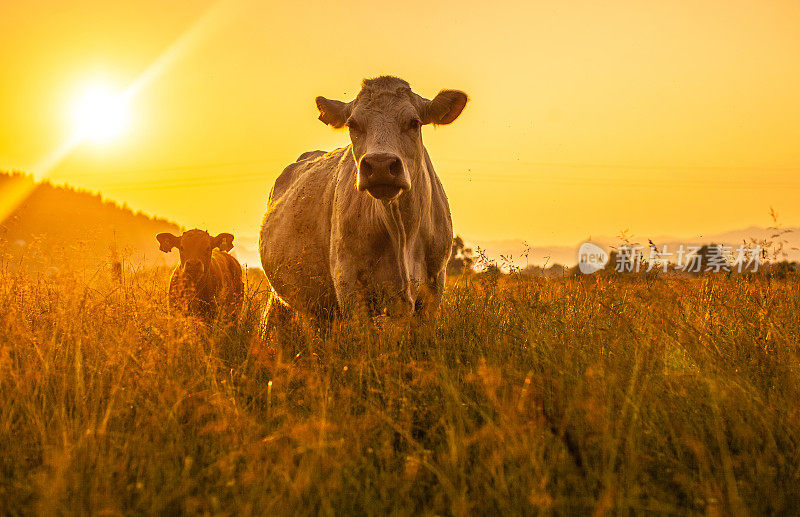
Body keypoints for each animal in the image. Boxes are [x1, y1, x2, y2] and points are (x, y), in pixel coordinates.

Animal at [260, 75, 466, 322]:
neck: (402, 233)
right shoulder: (349, 284)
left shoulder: (433, 289)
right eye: (353, 125)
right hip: (281, 298)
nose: (380, 165)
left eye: (414, 122)